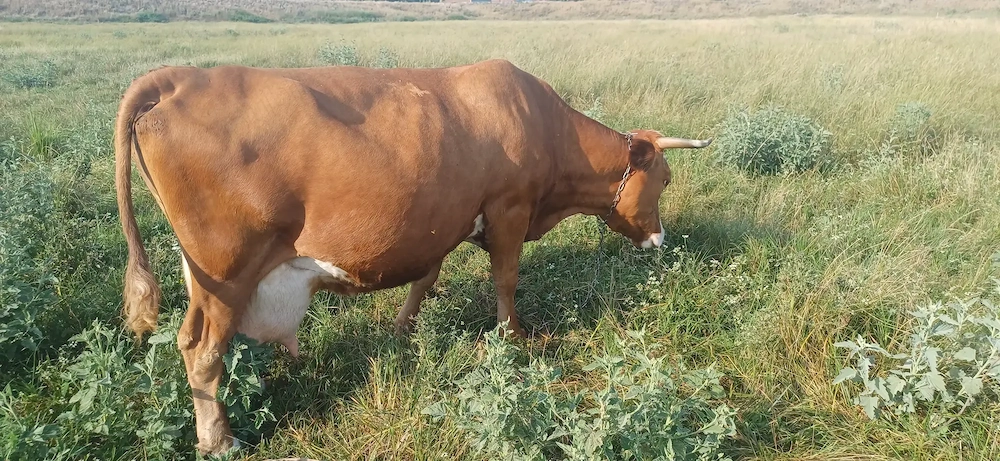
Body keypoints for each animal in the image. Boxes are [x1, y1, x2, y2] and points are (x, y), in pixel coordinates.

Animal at [114, 58, 710, 454]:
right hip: (227, 269)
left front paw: (404, 329)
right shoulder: (509, 209)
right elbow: (506, 278)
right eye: (665, 179)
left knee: (197, 344)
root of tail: (176, 77)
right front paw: (513, 336)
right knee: (202, 352)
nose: (660, 240)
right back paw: (219, 440)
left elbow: (427, 277)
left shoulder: (444, 221)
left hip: (205, 276)